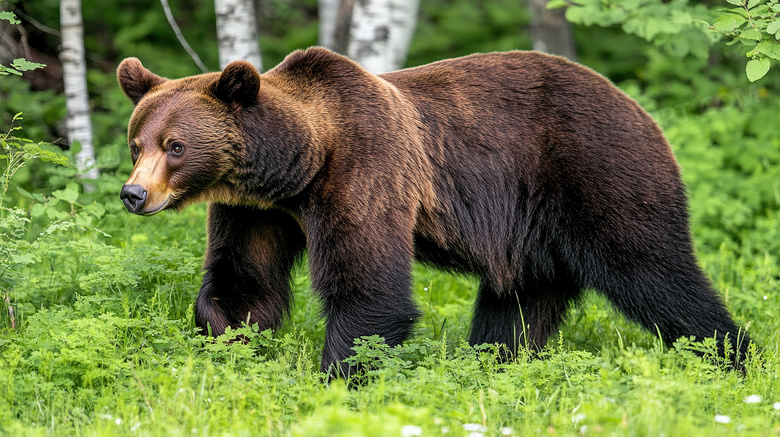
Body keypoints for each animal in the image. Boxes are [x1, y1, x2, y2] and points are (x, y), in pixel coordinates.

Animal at [117, 46, 748, 374]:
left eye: (176, 146)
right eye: (136, 143)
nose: (133, 193)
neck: (299, 166)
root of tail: (640, 106)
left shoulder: (366, 172)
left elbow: (369, 291)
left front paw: (339, 376)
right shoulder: (256, 210)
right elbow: (243, 282)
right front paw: (225, 343)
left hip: (599, 171)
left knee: (654, 272)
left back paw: (731, 355)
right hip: (529, 228)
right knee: (519, 303)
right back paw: (493, 364)